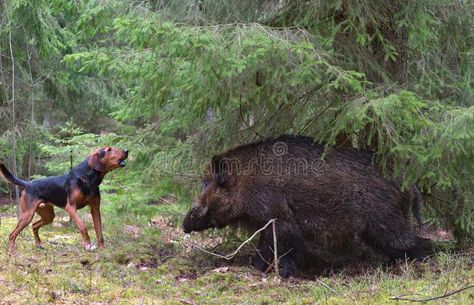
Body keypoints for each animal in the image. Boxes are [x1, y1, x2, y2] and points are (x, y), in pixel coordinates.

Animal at [0, 146, 129, 253]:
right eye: (108, 150)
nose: (127, 150)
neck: (88, 178)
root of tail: (27, 184)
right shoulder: (71, 207)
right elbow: (83, 227)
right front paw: (87, 245)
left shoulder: (95, 208)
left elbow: (99, 231)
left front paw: (102, 248)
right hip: (27, 214)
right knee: (12, 234)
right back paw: (11, 251)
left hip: (48, 215)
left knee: (34, 225)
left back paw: (39, 244)